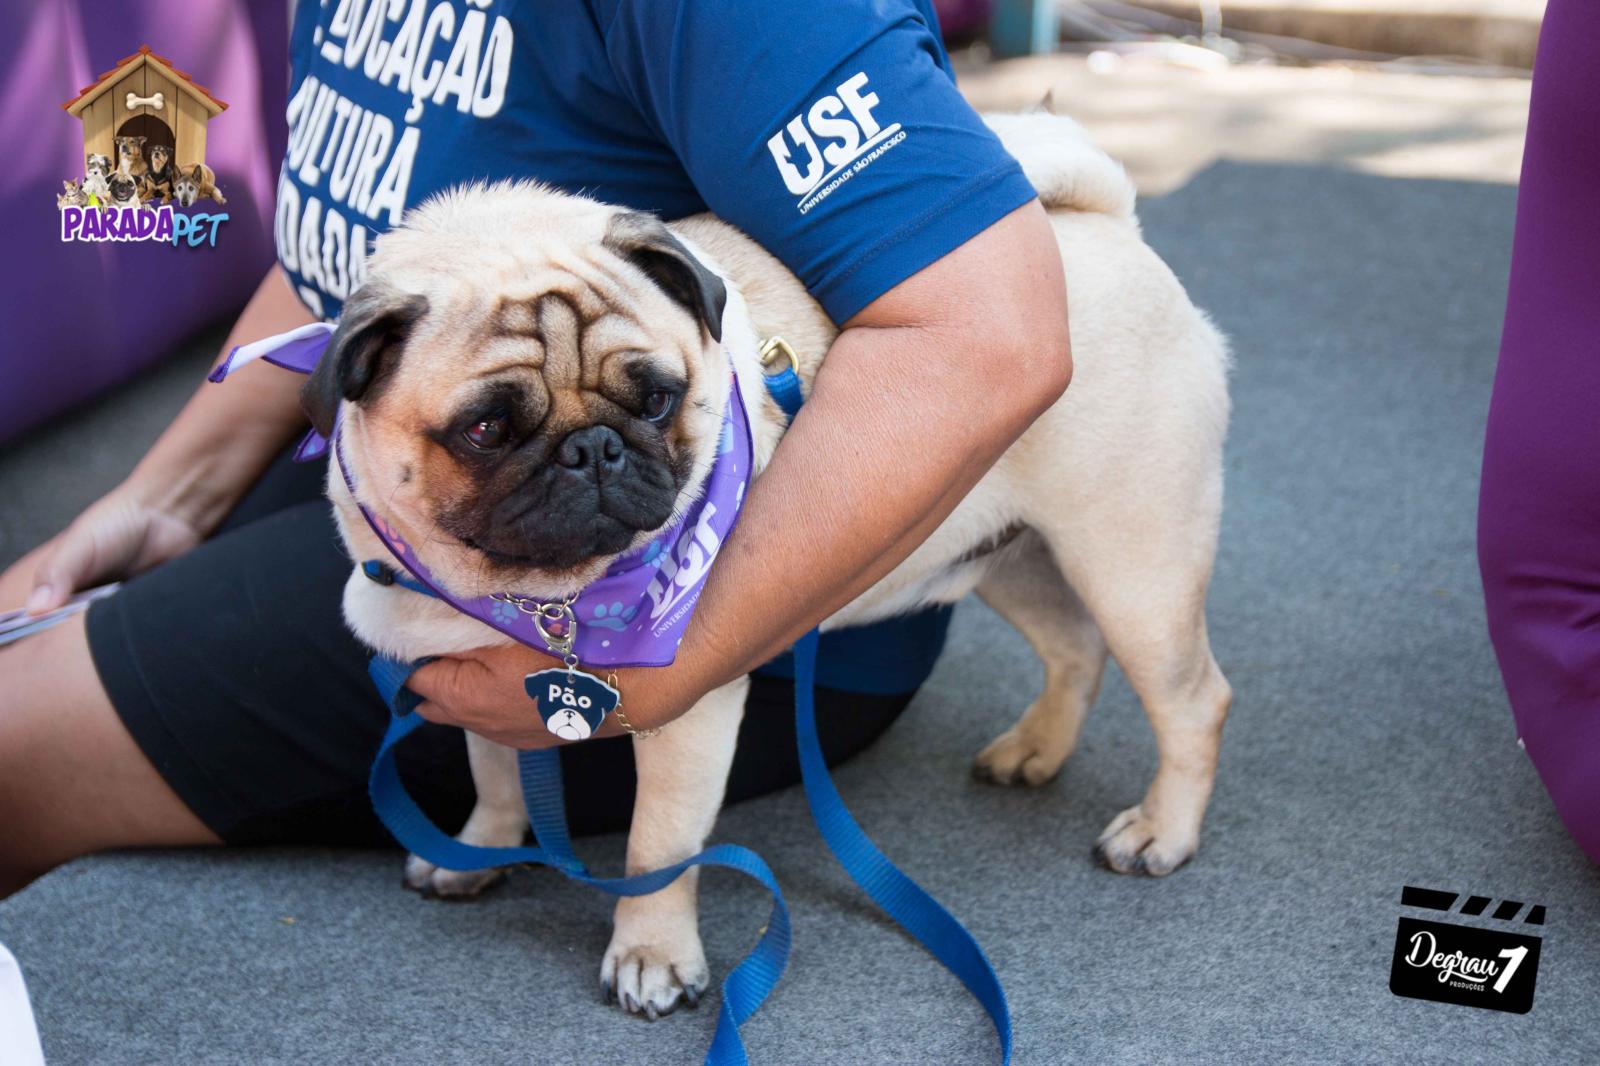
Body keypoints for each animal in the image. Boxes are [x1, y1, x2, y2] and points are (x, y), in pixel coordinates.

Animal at [308, 112, 1235, 1017]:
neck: (536, 599)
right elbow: (495, 769)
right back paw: (1035, 750)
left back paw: (1161, 833)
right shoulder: (464, 671)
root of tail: (1108, 225)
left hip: (1133, 564)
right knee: (1074, 649)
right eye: (485, 430)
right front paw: (477, 850)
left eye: (658, 399)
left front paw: (651, 956)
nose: (593, 449)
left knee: (1192, 700)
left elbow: (657, 846)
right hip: (1009, 555)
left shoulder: (684, 714)